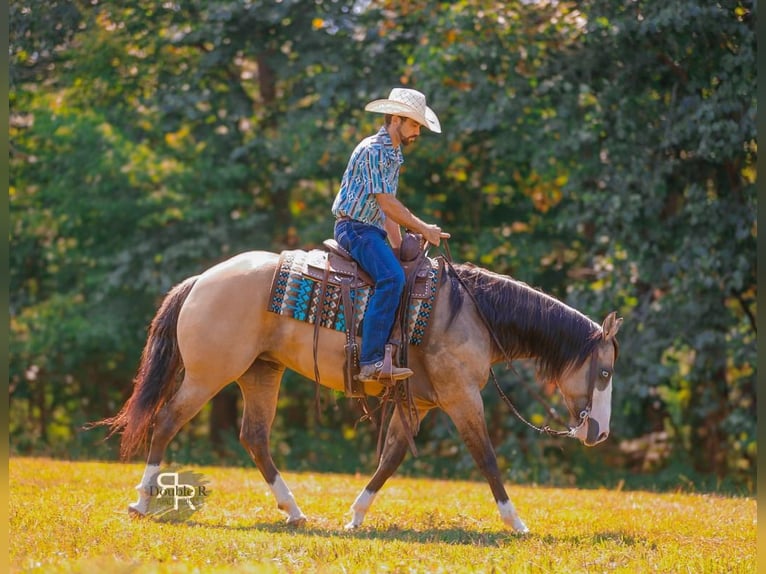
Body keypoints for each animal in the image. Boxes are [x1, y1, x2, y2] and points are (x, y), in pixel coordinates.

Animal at [96, 248, 622, 533]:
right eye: (604, 374)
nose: (599, 434)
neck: (472, 312)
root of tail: (201, 280)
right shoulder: (460, 397)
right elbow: (486, 457)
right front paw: (515, 522)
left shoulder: (420, 402)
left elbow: (391, 458)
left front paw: (355, 516)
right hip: (209, 375)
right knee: (167, 422)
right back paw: (142, 502)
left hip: (261, 373)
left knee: (256, 438)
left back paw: (294, 512)